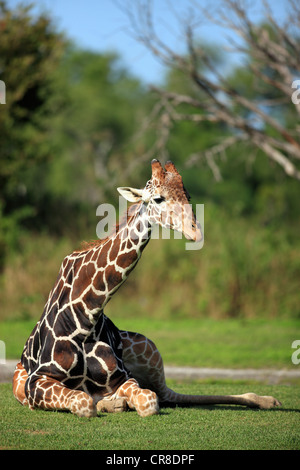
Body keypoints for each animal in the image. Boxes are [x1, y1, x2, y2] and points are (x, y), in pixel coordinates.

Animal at [12, 161, 282, 414]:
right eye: (158, 198)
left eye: (187, 196)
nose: (196, 233)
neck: (87, 313)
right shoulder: (36, 381)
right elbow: (83, 401)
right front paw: (110, 403)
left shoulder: (123, 378)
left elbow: (147, 402)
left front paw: (116, 402)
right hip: (18, 382)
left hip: (149, 348)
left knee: (167, 394)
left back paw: (268, 400)